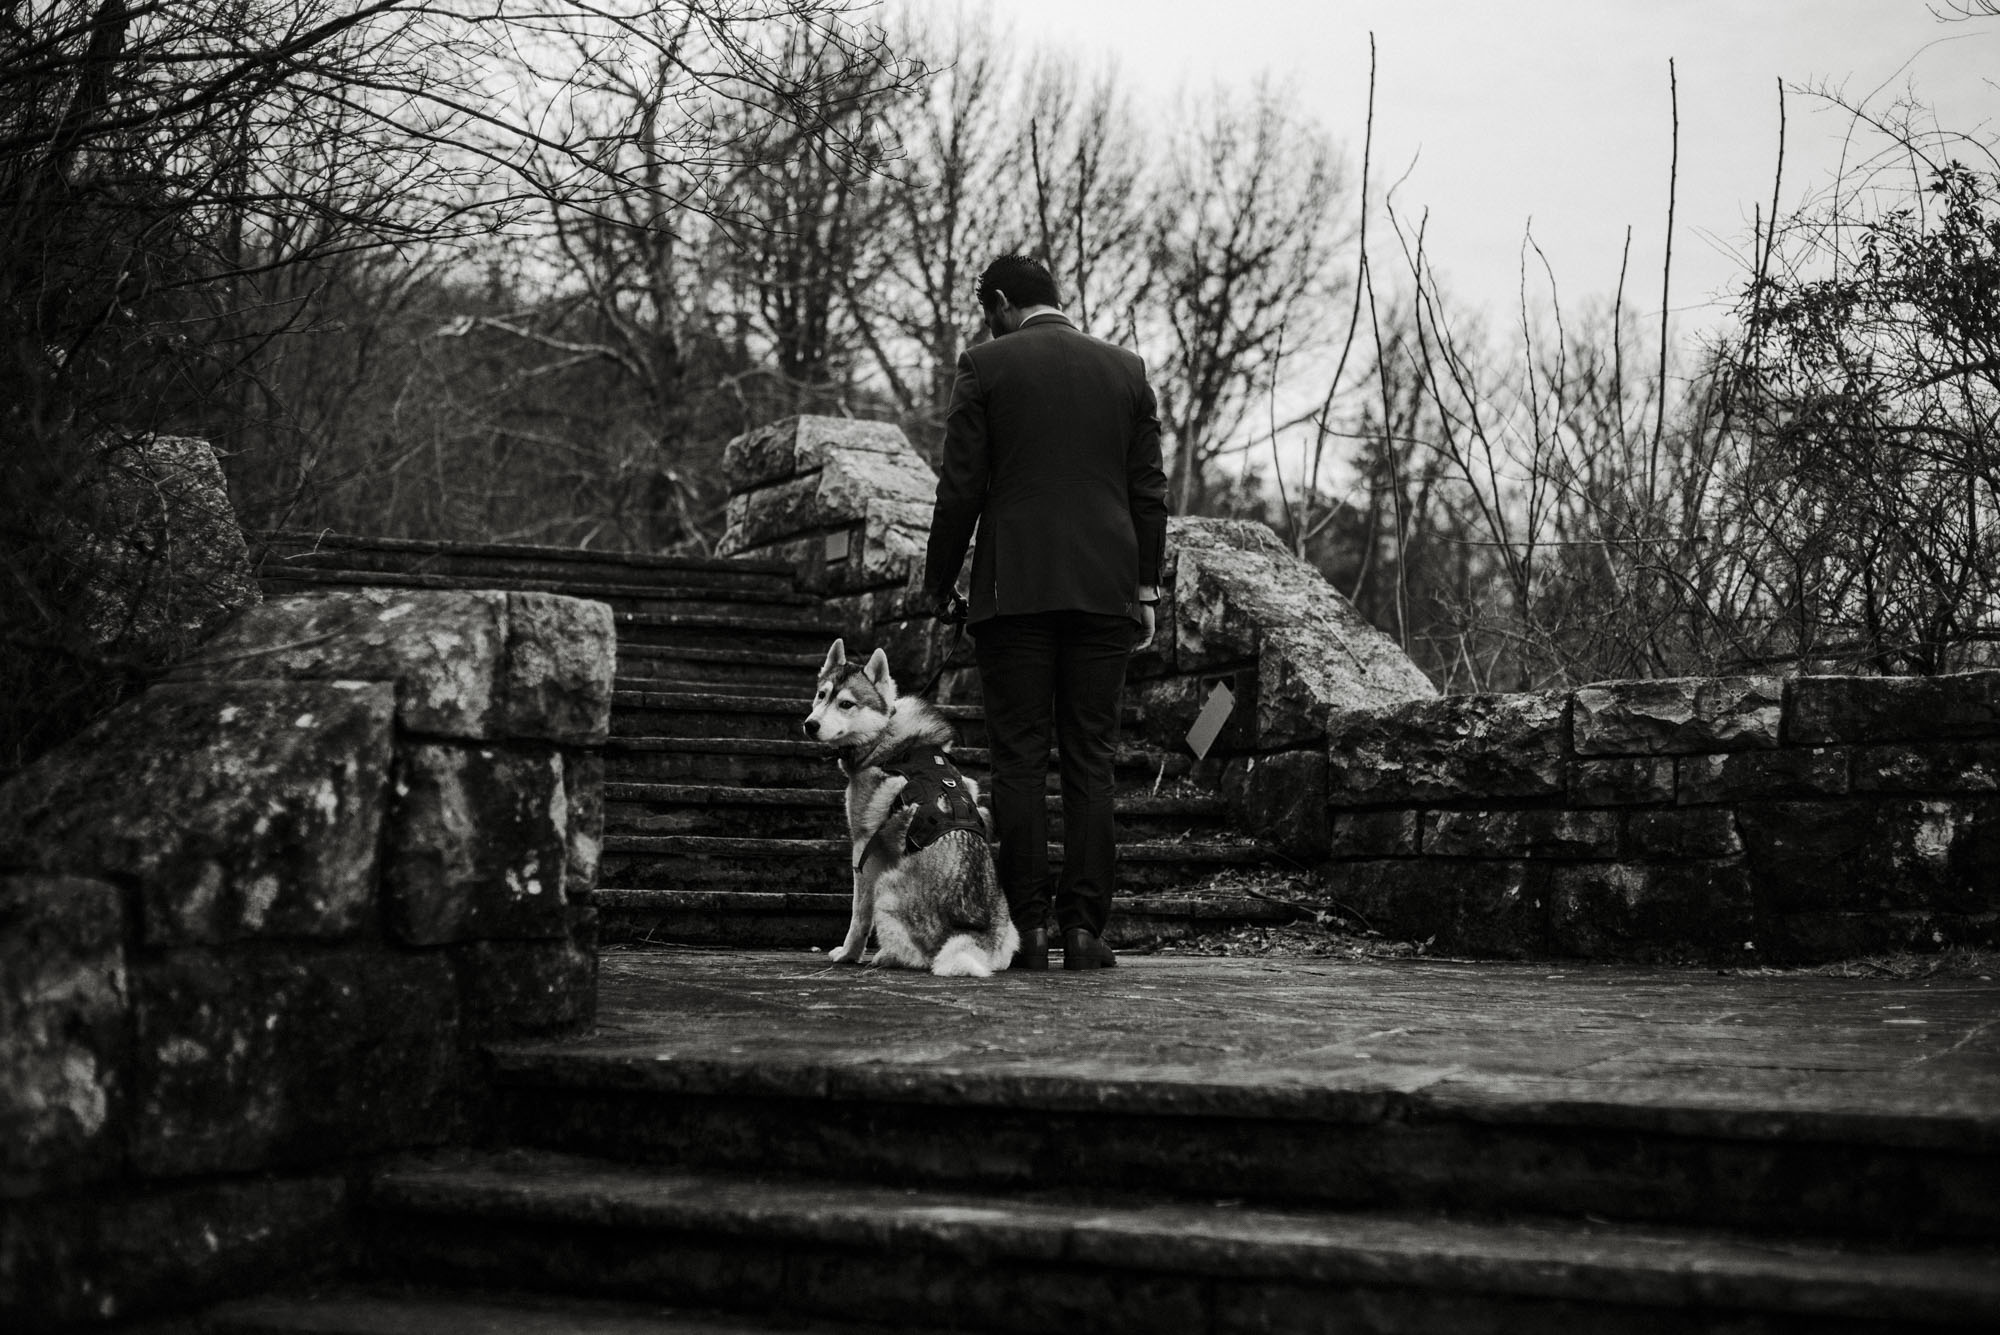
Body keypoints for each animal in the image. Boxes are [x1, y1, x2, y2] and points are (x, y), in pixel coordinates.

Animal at [800, 639, 1016, 975]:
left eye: (846, 704)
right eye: (822, 695)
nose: (811, 725)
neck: (883, 735)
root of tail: (970, 933)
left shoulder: (863, 848)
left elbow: (858, 916)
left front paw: (848, 953)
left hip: (885, 890)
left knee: (919, 958)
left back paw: (886, 956)